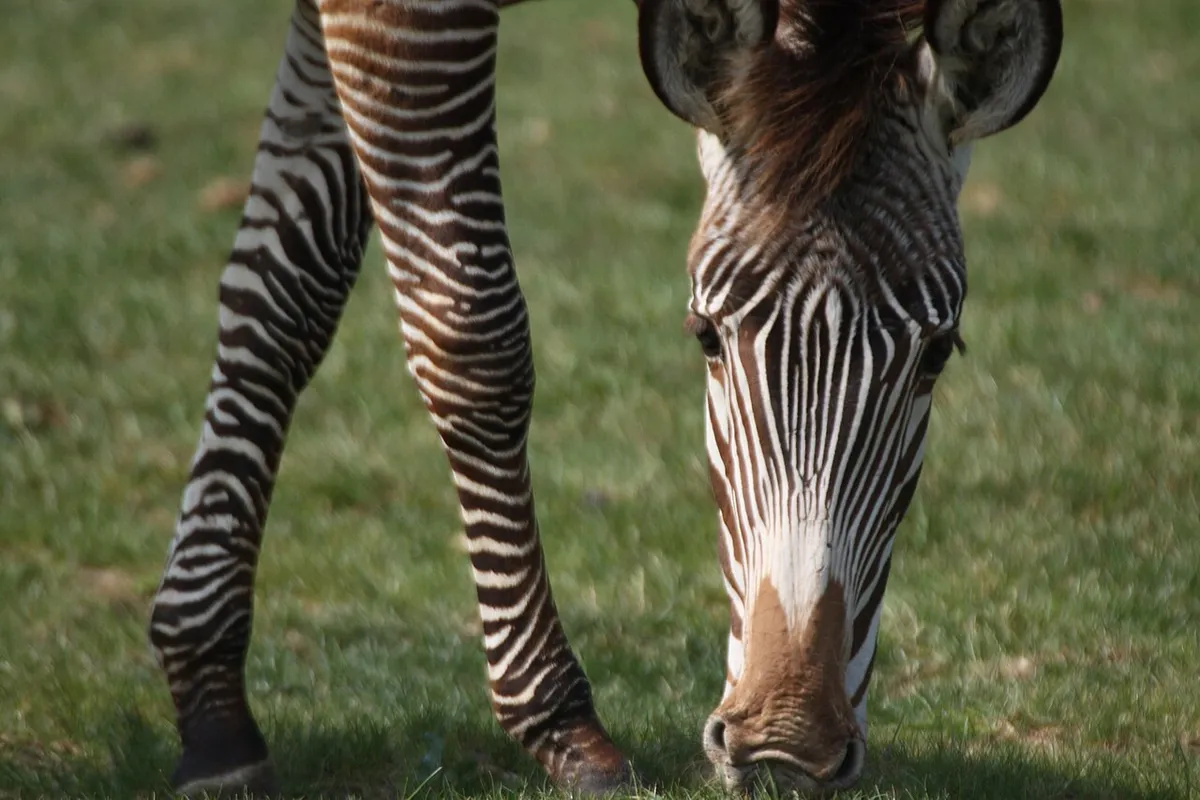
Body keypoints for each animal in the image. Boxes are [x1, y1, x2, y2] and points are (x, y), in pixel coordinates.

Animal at [146, 0, 1060, 796]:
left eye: (938, 354)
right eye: (704, 335)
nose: (786, 744)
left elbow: (285, 293)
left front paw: (209, 699)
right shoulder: (402, 15)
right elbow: (472, 336)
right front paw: (558, 722)